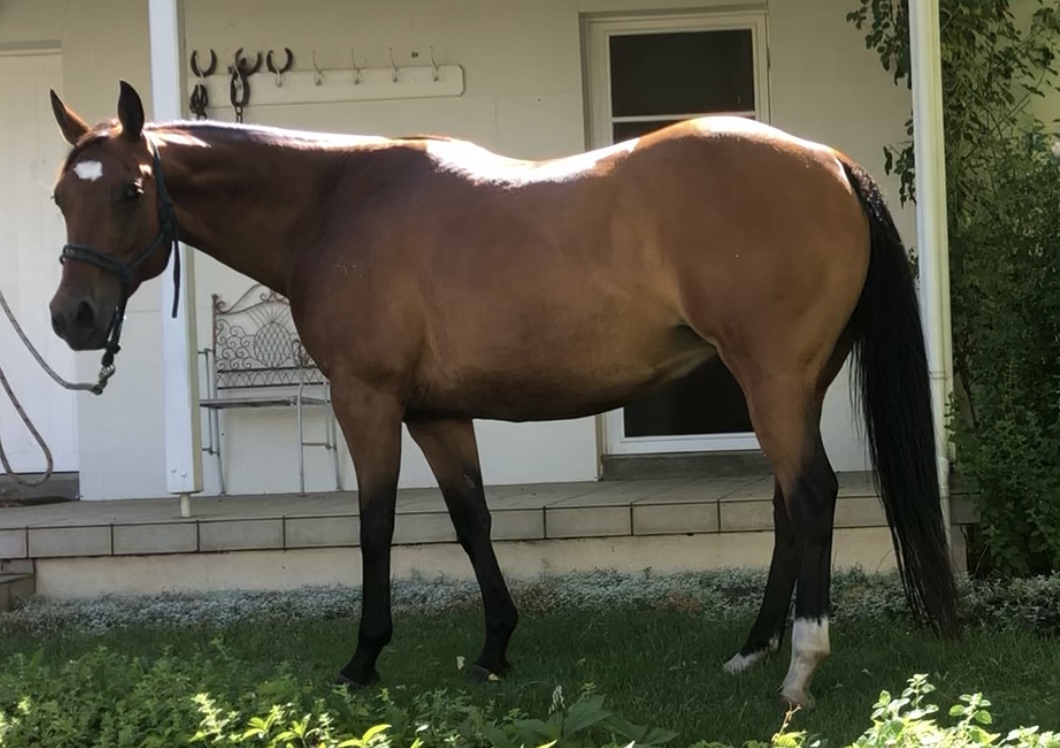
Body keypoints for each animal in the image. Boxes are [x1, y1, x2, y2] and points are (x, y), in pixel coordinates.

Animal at [44, 80, 960, 709]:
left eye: (129, 191)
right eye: (60, 195)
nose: (72, 318)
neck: (337, 205)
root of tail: (829, 162)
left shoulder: (368, 400)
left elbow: (375, 525)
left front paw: (363, 659)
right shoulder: (438, 411)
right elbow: (471, 520)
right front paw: (494, 649)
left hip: (771, 379)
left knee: (812, 495)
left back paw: (799, 666)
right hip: (793, 384)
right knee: (785, 505)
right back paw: (752, 648)